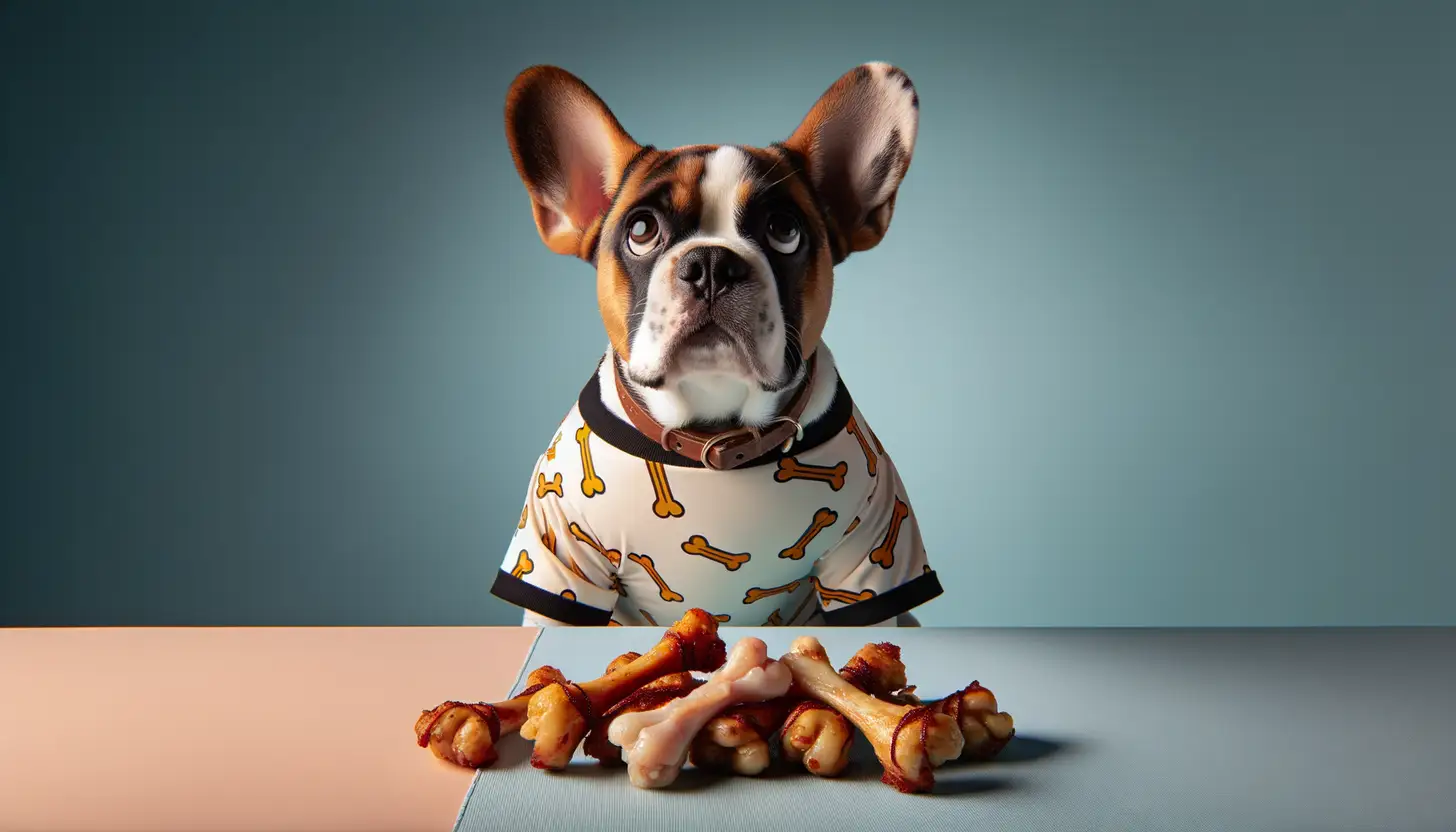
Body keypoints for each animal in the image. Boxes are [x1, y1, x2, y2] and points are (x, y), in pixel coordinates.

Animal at [495, 61, 937, 629]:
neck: (713, 435)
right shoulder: (558, 563)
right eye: (641, 229)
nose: (711, 263)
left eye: (784, 229)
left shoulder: (869, 565)